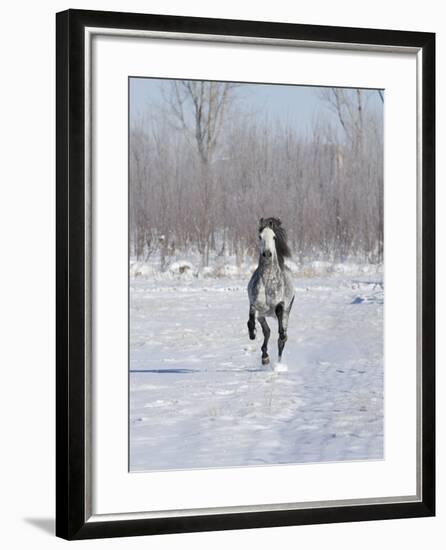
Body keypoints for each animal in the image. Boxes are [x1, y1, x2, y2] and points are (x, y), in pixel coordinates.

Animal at [246, 217, 294, 366]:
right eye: (260, 236)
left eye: (274, 237)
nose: (267, 254)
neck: (267, 281)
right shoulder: (255, 305)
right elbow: (251, 318)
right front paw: (252, 334)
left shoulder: (280, 304)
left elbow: (279, 315)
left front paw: (282, 335)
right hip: (262, 316)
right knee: (267, 331)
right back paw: (265, 357)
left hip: (287, 313)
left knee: (281, 339)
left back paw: (278, 362)